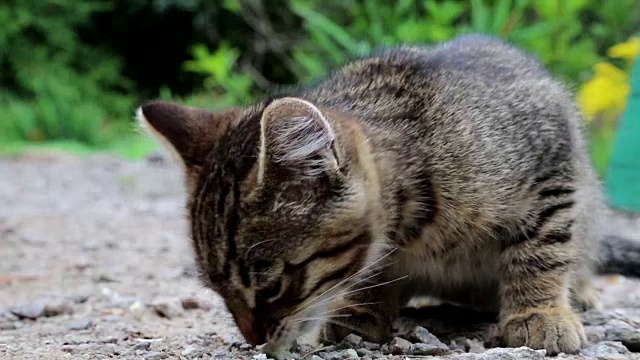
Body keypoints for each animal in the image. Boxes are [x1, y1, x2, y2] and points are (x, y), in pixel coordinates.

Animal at [138, 34, 640, 358]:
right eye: (217, 289)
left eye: (272, 286)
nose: (255, 340)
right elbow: (370, 272)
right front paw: (361, 310)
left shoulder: (551, 157)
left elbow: (542, 247)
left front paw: (539, 310)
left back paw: (581, 290)